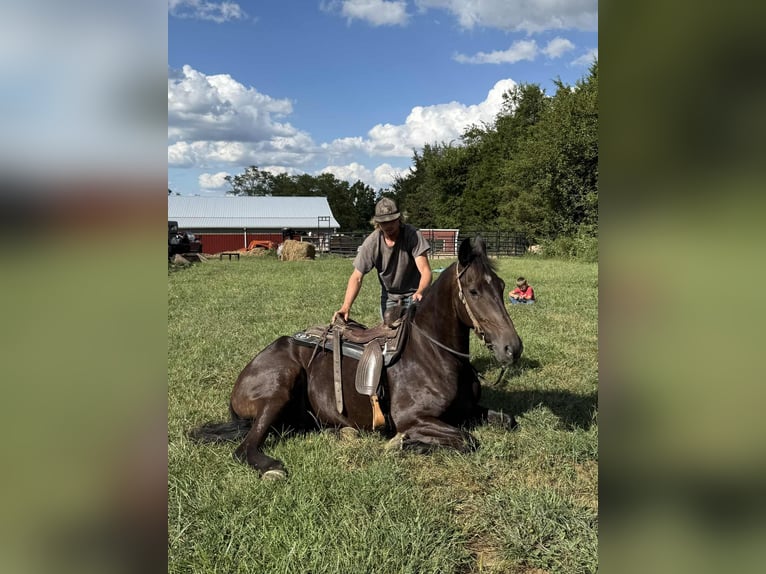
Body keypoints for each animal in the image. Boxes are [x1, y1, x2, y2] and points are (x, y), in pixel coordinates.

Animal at [189, 236, 523, 478]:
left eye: (501, 286)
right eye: (474, 290)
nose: (513, 348)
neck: (434, 355)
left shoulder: (469, 410)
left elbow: (507, 420)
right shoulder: (413, 419)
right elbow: (467, 440)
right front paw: (405, 445)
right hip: (278, 389)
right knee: (245, 447)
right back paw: (272, 468)